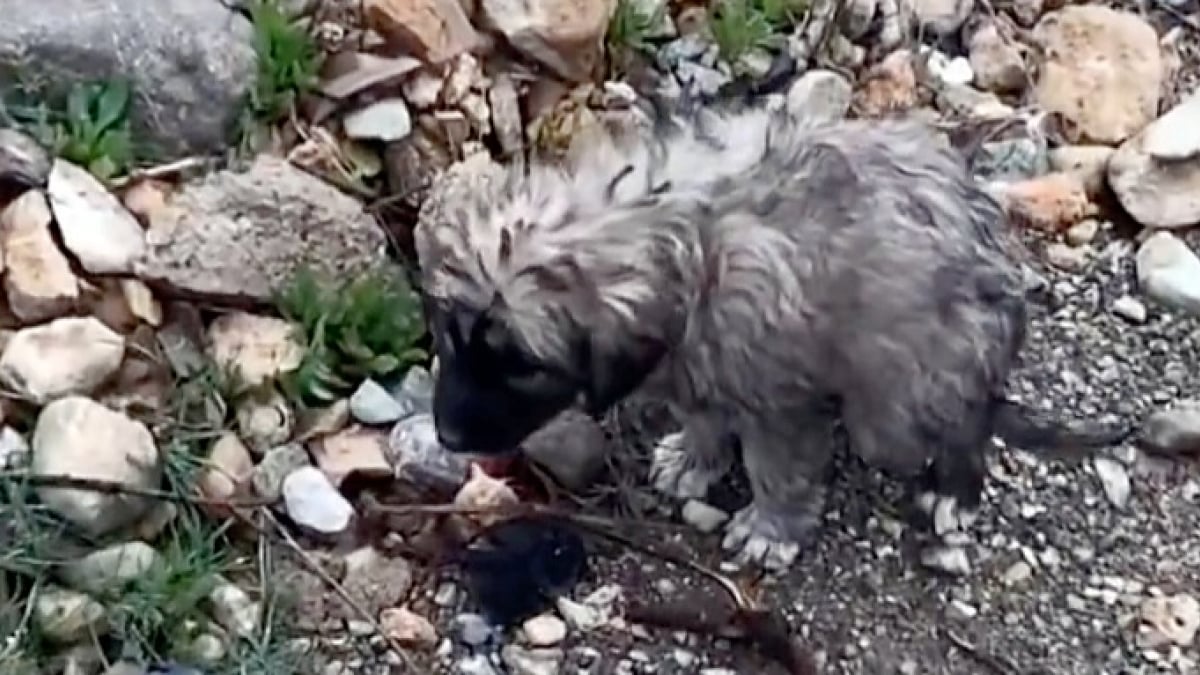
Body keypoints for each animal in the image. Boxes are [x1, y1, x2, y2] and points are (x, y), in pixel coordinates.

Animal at [415, 103, 1132, 566]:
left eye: (522, 365)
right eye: (450, 337)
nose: (447, 436)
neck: (680, 243)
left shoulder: (779, 401)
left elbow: (779, 469)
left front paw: (770, 528)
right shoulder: (695, 365)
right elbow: (703, 415)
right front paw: (695, 459)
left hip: (903, 396)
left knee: (964, 423)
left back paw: (955, 490)